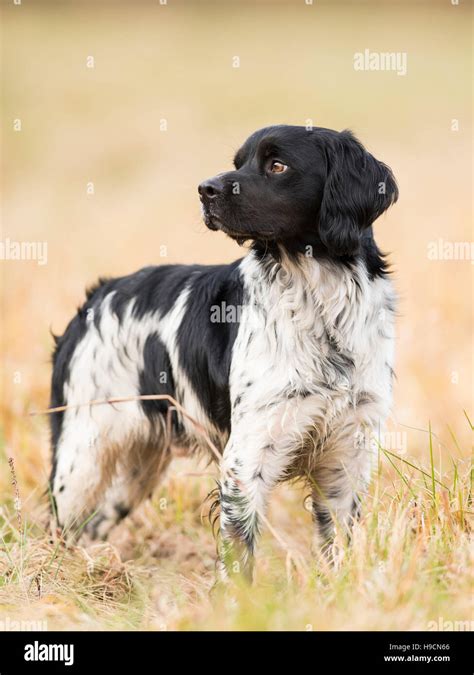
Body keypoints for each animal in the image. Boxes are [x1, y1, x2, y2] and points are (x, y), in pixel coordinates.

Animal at [50, 127, 398, 580]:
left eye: (277, 165)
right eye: (238, 162)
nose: (205, 189)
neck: (319, 299)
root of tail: (97, 295)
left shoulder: (346, 459)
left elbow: (339, 547)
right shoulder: (246, 460)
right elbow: (239, 556)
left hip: (136, 468)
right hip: (82, 458)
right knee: (59, 531)